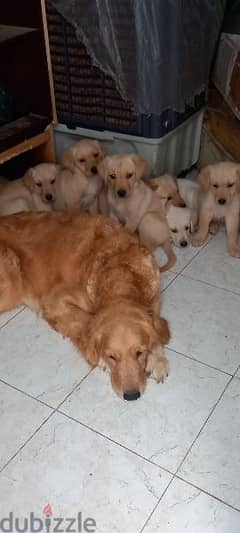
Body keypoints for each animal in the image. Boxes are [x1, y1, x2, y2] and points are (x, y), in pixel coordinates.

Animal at [0, 212, 169, 400]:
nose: (132, 396)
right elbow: (85, 322)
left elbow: (156, 330)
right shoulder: (54, 299)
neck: (121, 273)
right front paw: (99, 357)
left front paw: (157, 359)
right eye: (112, 356)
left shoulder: (155, 303)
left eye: (139, 353)